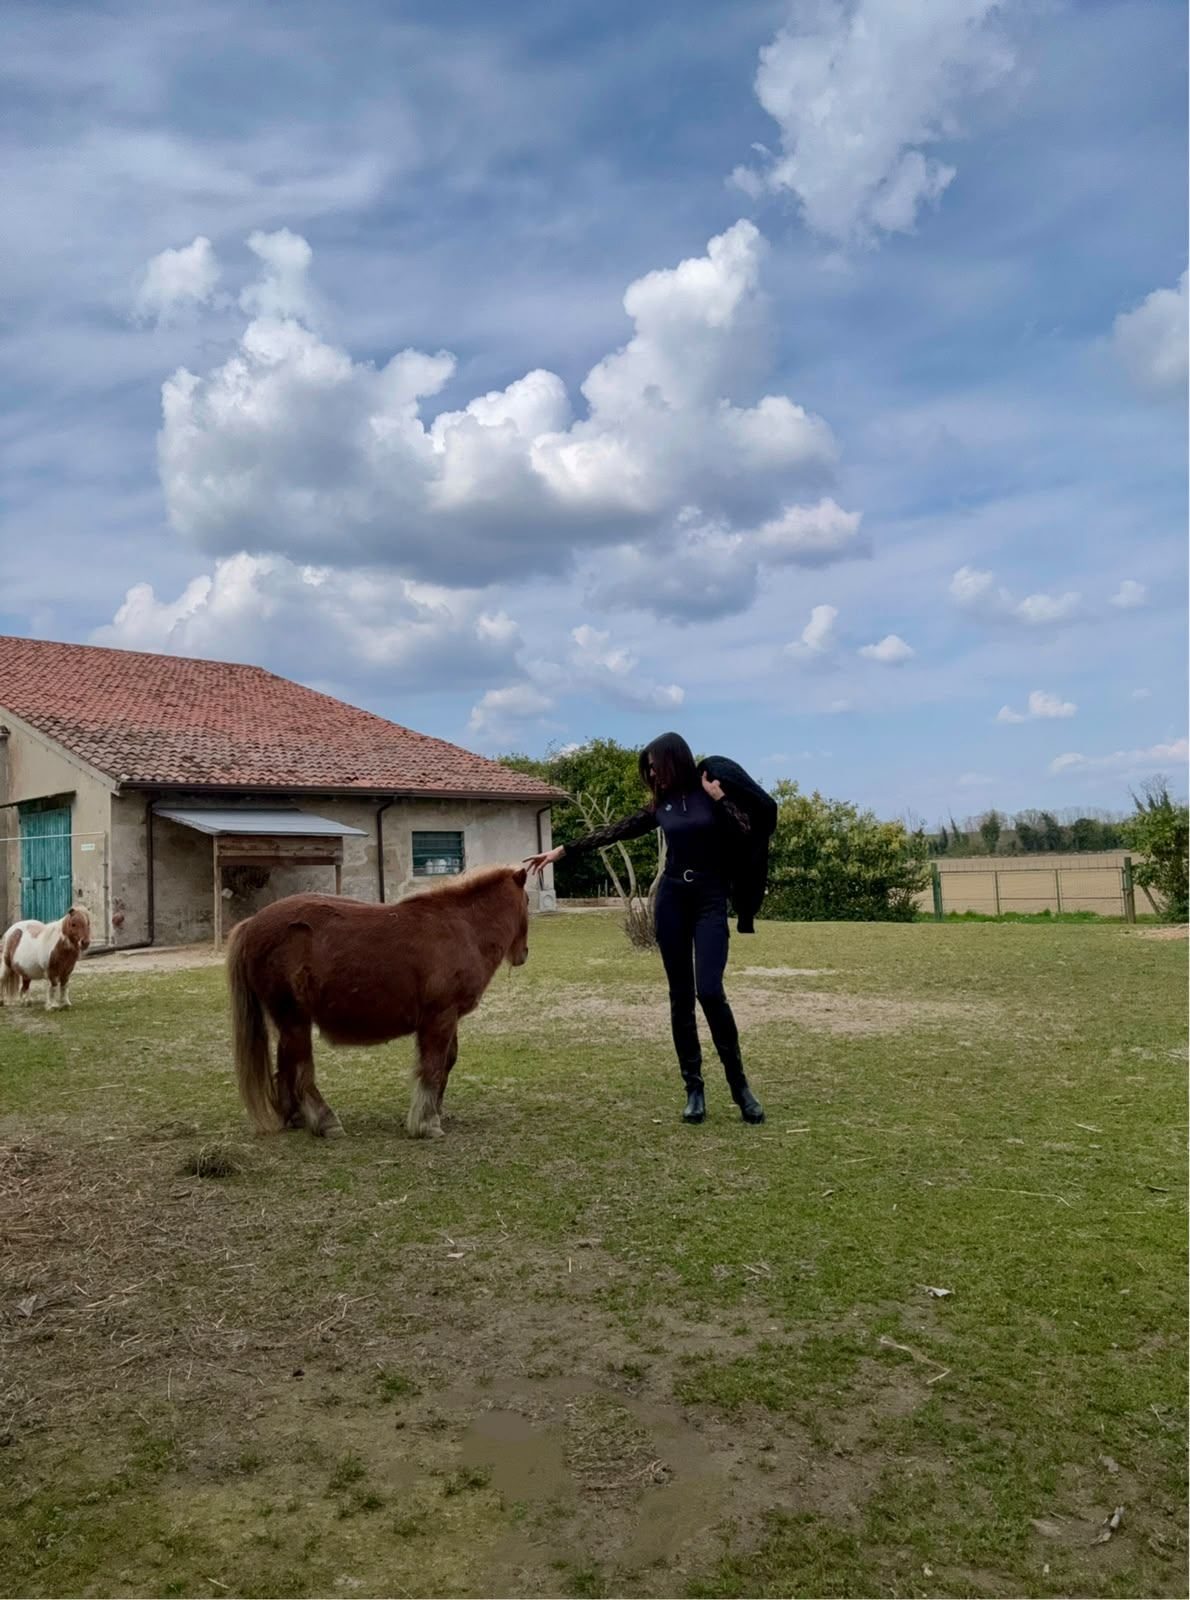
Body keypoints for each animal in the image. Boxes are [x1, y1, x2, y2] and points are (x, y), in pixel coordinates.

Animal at [225, 865, 530, 1140]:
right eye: (527, 901)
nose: (524, 953)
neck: (461, 928)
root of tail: (251, 924)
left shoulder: (449, 1017)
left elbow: (448, 1061)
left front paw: (435, 1111)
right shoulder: (440, 1017)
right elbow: (433, 1065)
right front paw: (427, 1122)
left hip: (290, 1022)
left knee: (286, 1066)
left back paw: (297, 1117)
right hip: (294, 1019)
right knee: (301, 1071)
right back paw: (325, 1121)